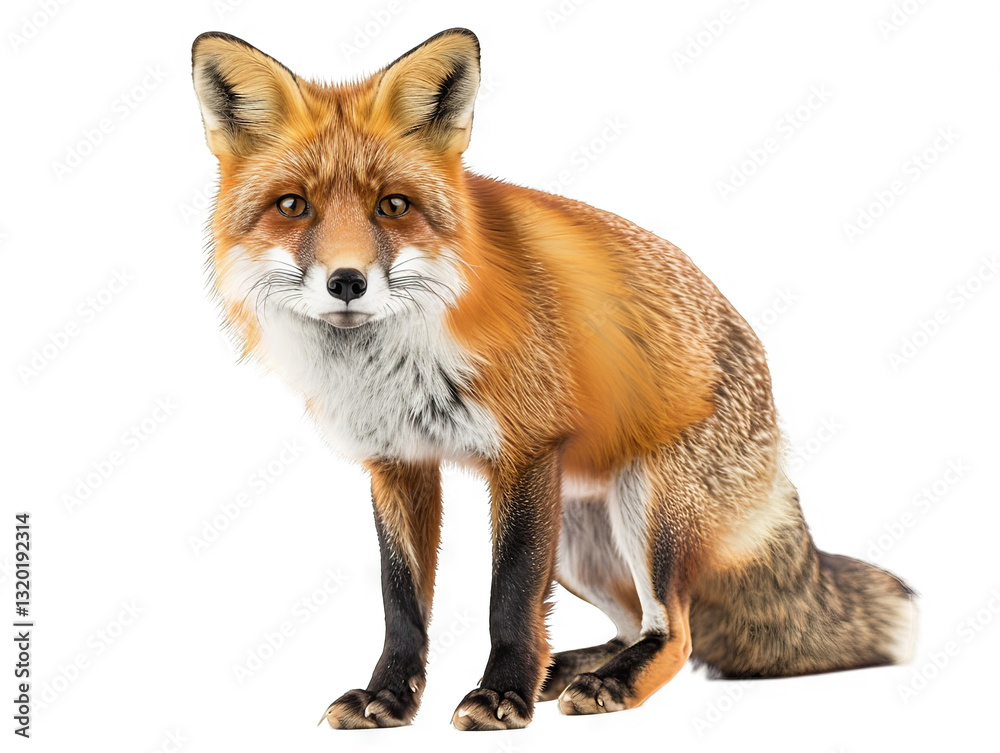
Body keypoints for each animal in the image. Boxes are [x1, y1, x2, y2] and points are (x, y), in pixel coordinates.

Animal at [191, 28, 916, 730]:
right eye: (293, 206)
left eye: (393, 205)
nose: (347, 281)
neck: (394, 362)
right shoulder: (397, 462)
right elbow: (401, 601)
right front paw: (389, 697)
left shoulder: (527, 450)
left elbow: (509, 597)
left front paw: (500, 695)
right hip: (576, 539)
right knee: (633, 623)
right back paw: (565, 671)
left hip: (646, 509)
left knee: (675, 633)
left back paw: (605, 682)